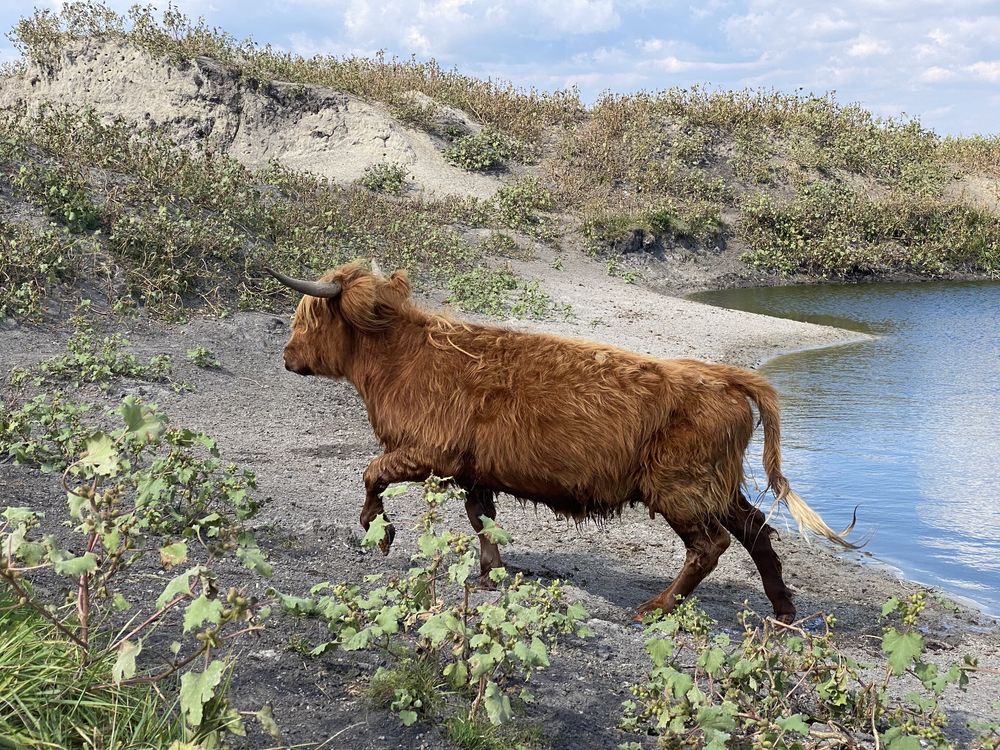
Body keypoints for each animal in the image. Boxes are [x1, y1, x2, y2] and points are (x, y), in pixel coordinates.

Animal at [270, 264, 856, 624]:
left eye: (307, 319)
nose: (286, 356)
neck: (398, 358)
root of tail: (723, 376)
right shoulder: (474, 467)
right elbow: (481, 516)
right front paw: (490, 573)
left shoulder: (430, 450)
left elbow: (372, 472)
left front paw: (380, 532)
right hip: (713, 482)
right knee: (755, 529)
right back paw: (783, 610)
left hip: (679, 487)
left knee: (710, 545)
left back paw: (654, 608)